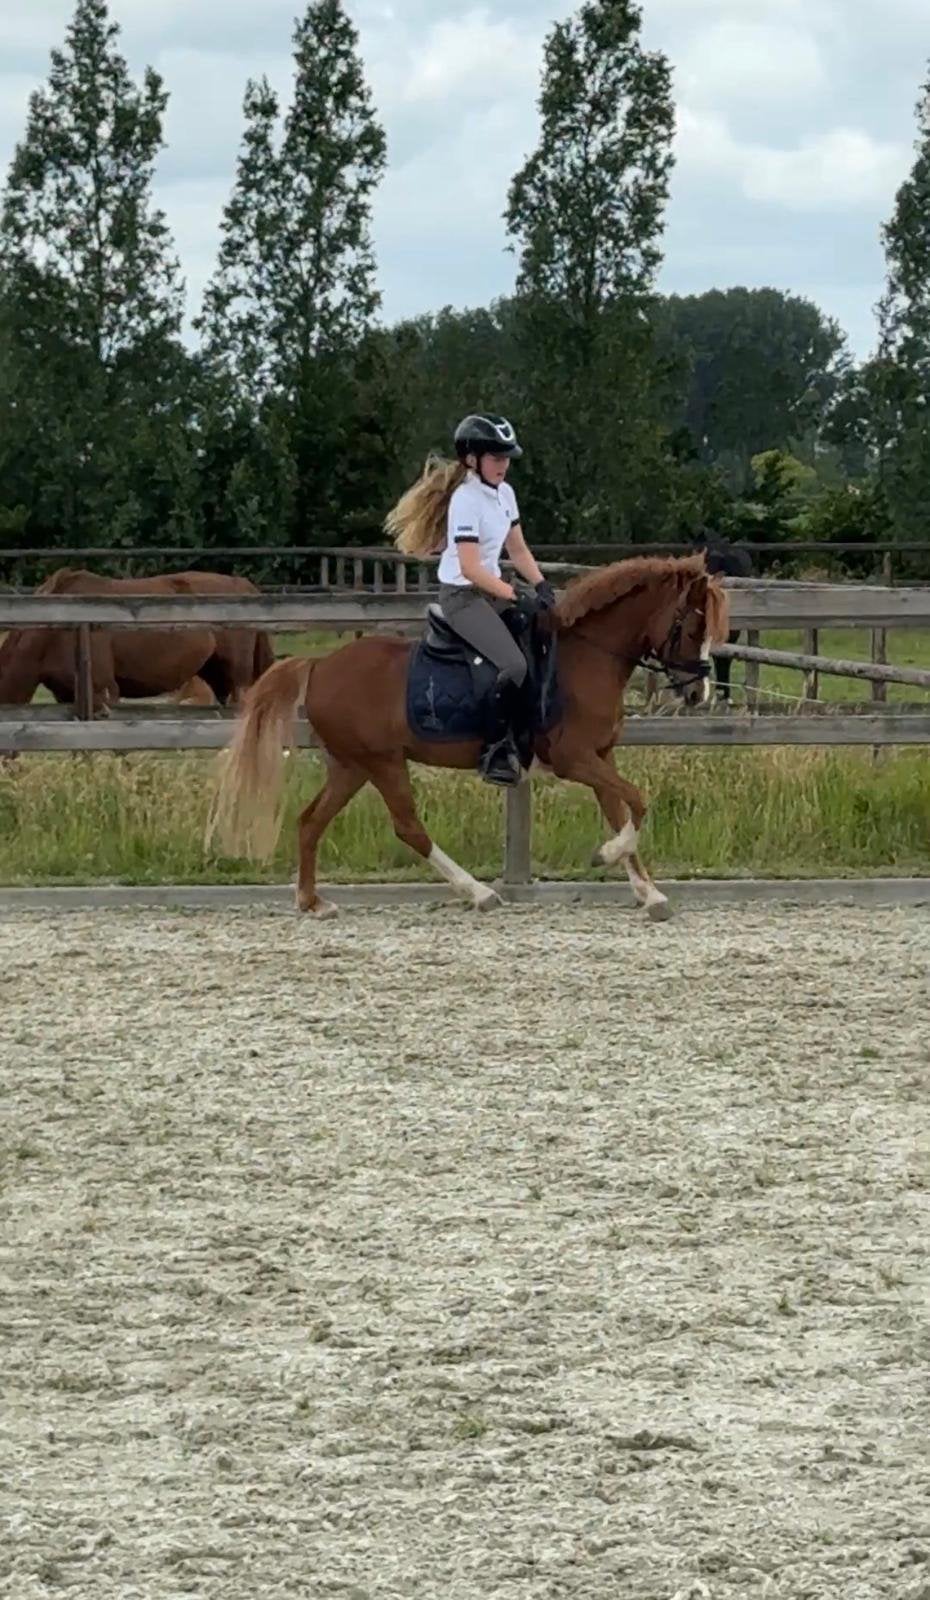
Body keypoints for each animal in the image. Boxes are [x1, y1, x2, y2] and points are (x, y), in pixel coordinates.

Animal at [207, 554, 730, 923]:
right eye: (693, 624)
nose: (698, 691)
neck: (586, 657)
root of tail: (319, 665)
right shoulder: (574, 758)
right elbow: (638, 802)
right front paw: (605, 856)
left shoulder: (602, 756)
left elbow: (622, 811)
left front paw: (650, 894)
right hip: (382, 762)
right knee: (408, 827)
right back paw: (479, 892)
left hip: (352, 765)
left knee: (311, 821)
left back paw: (313, 902)